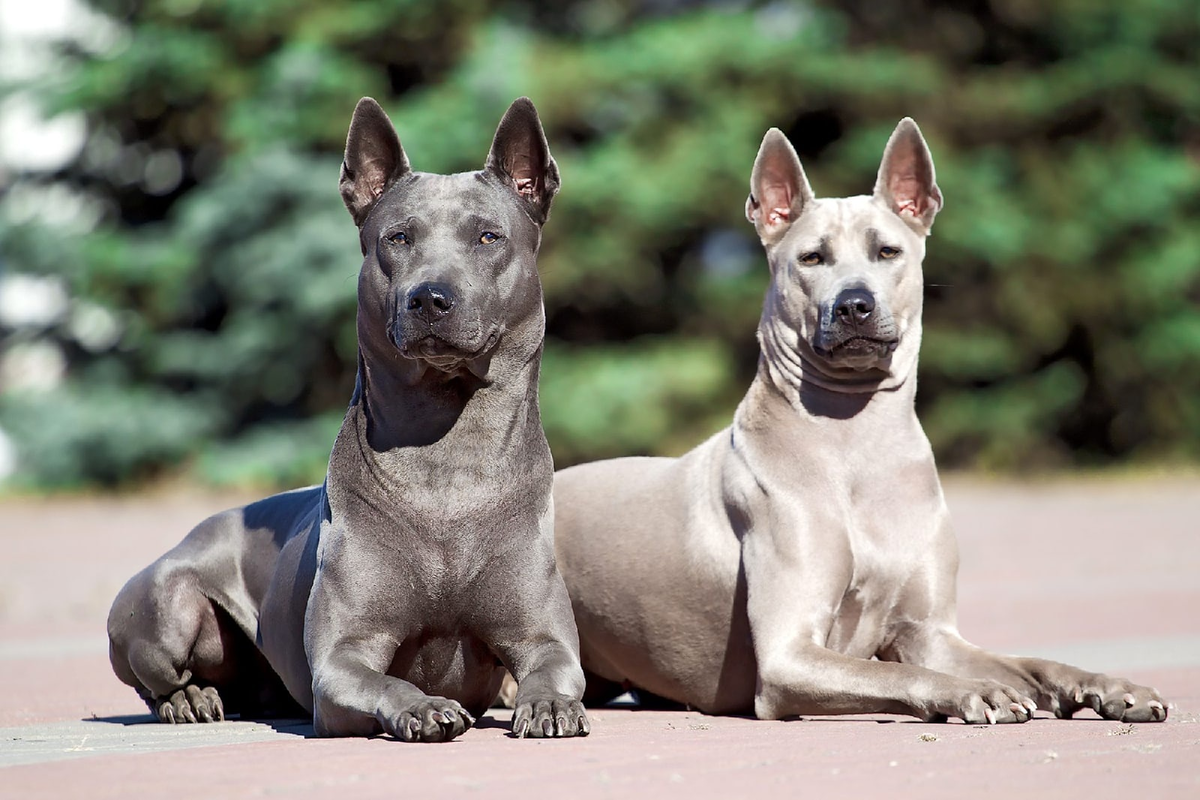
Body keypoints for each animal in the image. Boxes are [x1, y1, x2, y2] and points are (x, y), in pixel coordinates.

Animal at [110, 98, 588, 743]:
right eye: (398, 237)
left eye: (488, 236)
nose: (429, 297)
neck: (449, 459)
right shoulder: (342, 659)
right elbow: (384, 681)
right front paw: (424, 707)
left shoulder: (544, 637)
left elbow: (555, 668)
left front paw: (549, 705)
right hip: (167, 603)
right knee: (156, 676)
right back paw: (190, 699)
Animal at [549, 118, 1161, 724]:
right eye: (812, 258)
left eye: (887, 251)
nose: (854, 305)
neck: (857, 441)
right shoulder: (789, 656)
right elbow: (895, 673)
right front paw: (974, 693)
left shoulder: (930, 632)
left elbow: (1031, 663)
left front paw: (1106, 687)